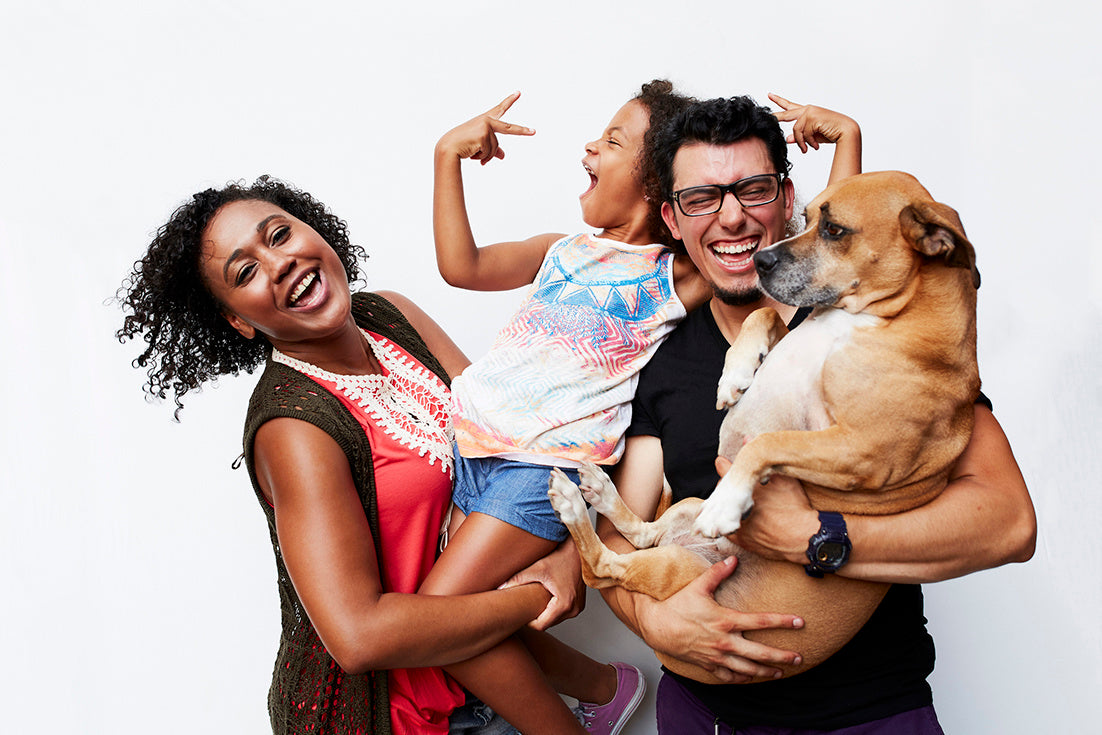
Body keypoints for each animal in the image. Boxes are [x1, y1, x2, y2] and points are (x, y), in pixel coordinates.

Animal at [551, 173, 982, 683]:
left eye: (834, 230)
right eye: (809, 217)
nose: (760, 260)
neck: (866, 318)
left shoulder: (861, 451)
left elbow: (767, 442)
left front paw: (729, 502)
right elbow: (765, 313)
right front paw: (735, 373)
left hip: (676, 566)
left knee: (604, 566)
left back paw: (578, 506)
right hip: (683, 514)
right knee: (641, 535)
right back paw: (598, 492)